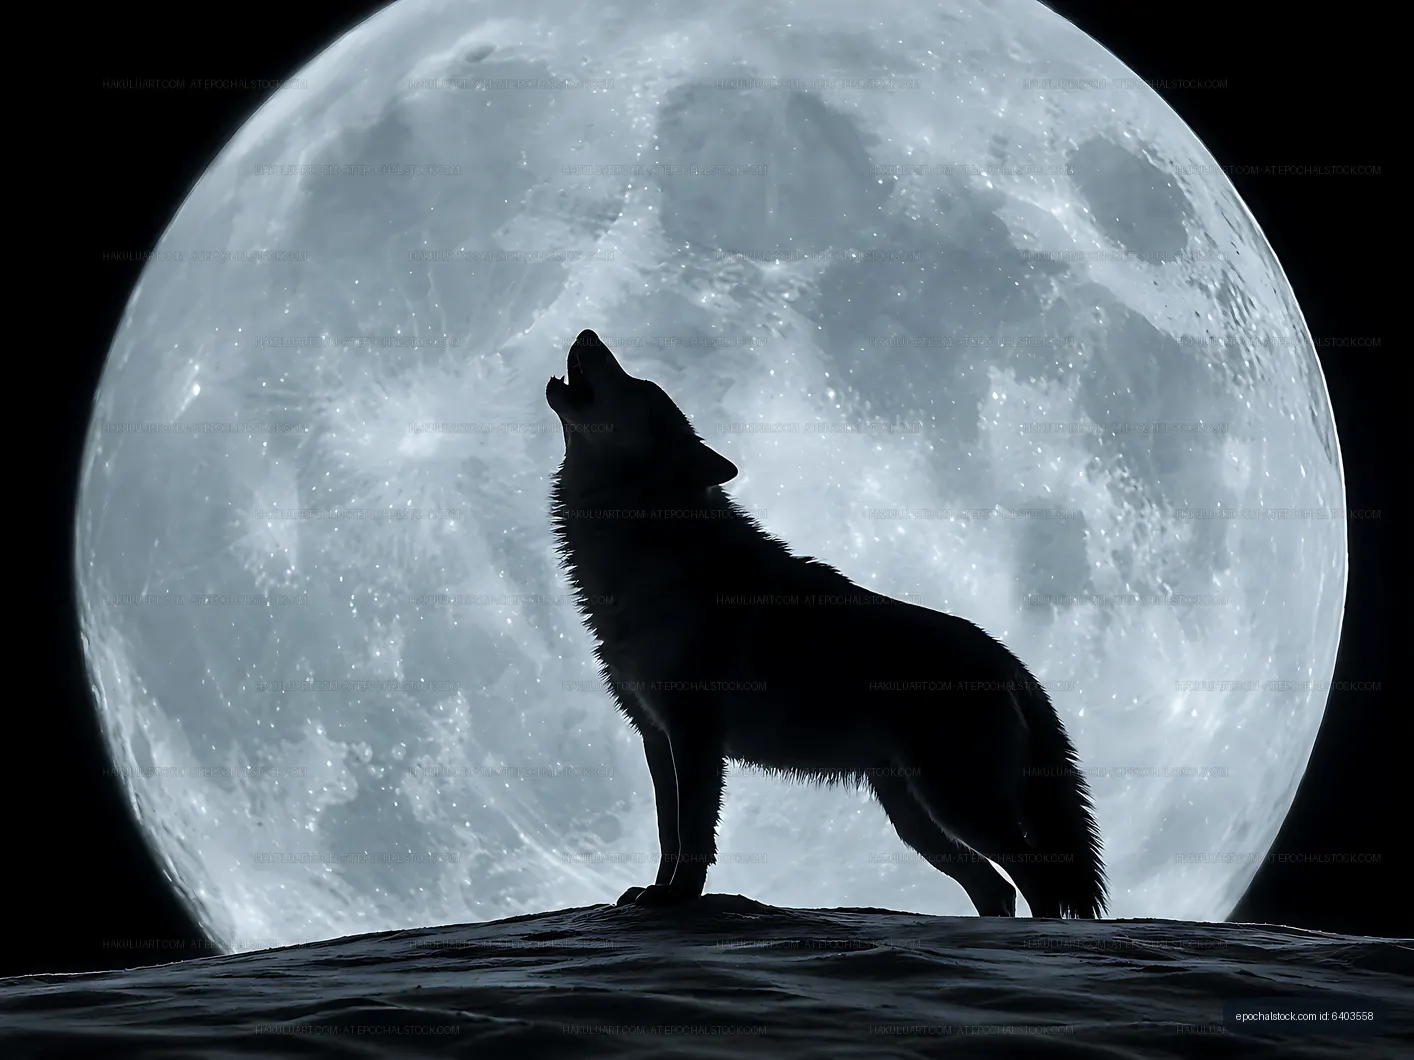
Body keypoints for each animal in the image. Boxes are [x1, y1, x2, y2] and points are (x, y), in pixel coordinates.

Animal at [546, 330, 1108, 918]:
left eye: (640, 385)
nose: (587, 334)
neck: (647, 547)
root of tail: (1011, 661)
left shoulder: (695, 735)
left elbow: (695, 834)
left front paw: (678, 898)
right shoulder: (656, 736)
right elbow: (667, 833)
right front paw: (654, 892)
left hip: (955, 801)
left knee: (1037, 879)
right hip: (915, 816)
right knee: (996, 887)